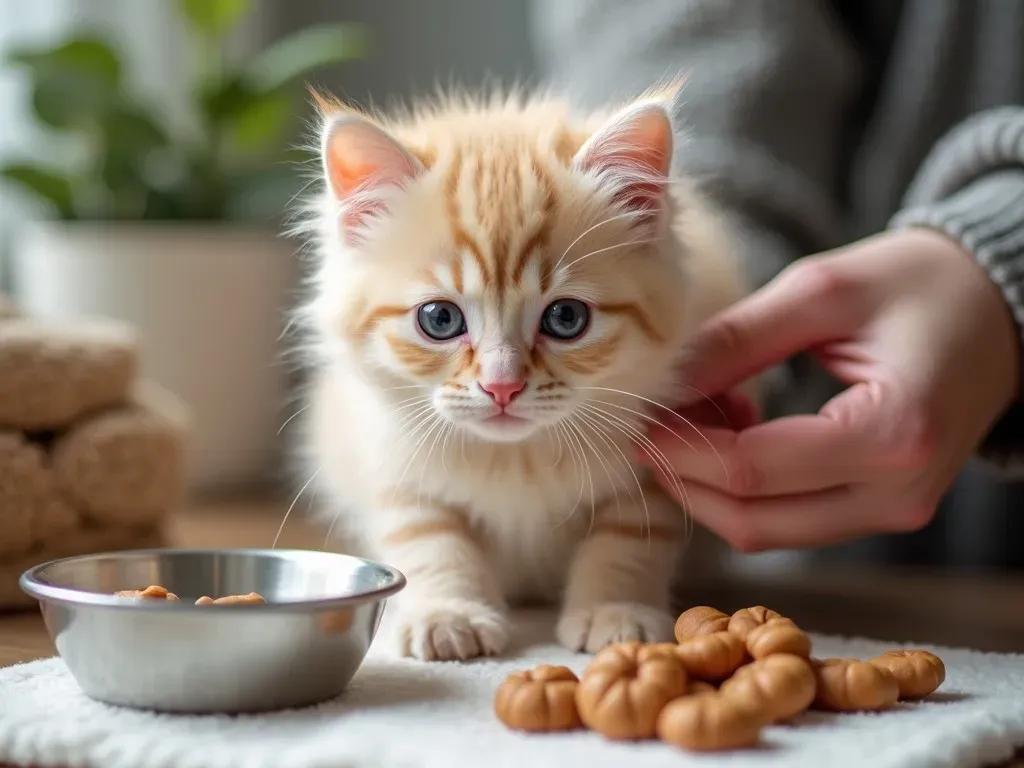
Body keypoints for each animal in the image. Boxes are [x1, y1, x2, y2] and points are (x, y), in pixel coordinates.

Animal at [292, 82, 749, 663]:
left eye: (566, 318)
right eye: (439, 319)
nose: (501, 385)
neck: (517, 460)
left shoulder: (657, 465)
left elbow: (628, 540)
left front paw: (614, 611)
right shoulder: (388, 460)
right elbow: (429, 538)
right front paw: (449, 612)